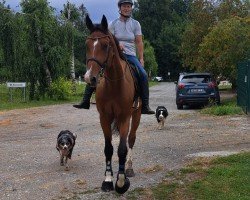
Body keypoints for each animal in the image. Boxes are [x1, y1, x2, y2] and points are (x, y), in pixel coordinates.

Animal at [84, 15, 142, 194]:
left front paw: (121, 182)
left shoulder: (124, 117)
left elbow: (122, 149)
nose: (90, 78)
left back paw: (129, 168)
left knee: (131, 139)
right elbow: (108, 148)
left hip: (136, 115)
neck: (114, 84)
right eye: (87, 45)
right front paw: (108, 180)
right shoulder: (104, 118)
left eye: (105, 45)